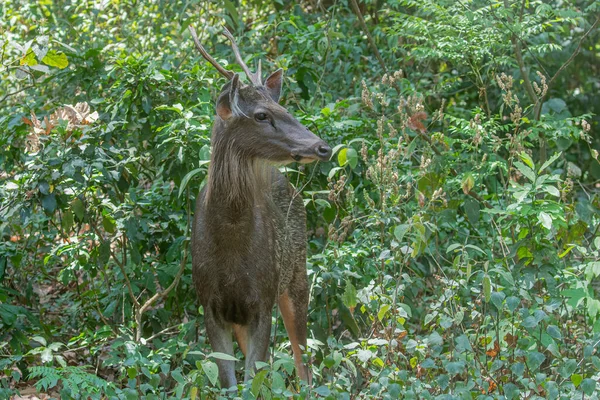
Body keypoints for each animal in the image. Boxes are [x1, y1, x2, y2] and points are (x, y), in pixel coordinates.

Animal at [188, 25, 330, 390]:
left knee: (303, 361)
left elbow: (254, 378)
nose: (322, 146)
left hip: (296, 275)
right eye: (262, 115)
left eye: (287, 111)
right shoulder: (210, 304)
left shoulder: (262, 300)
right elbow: (230, 382)